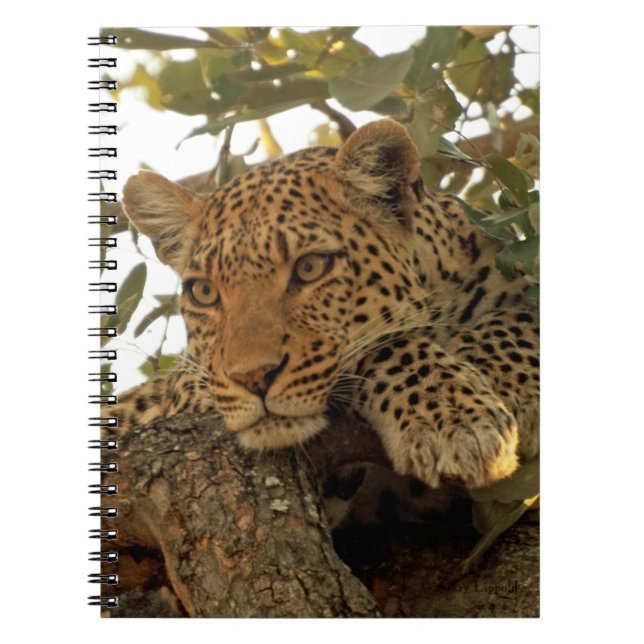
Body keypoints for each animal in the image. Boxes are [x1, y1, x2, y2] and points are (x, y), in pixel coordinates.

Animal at [112, 119, 539, 502]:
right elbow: (386, 345)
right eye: (204, 292)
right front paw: (454, 419)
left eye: (310, 267)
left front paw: (502, 384)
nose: (253, 377)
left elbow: (525, 317)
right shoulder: (189, 392)